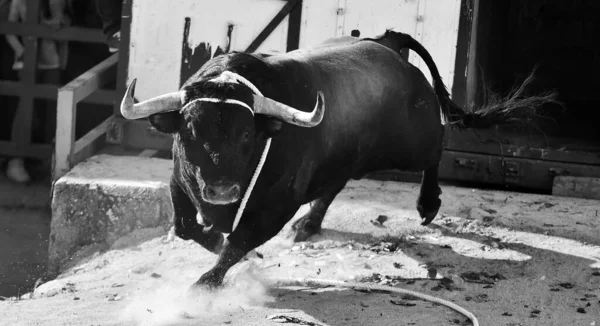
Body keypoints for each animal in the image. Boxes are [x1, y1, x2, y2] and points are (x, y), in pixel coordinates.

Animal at [119, 31, 532, 290]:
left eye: (247, 135)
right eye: (188, 132)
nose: (221, 189)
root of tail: (387, 42)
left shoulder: (276, 206)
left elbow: (239, 243)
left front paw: (208, 280)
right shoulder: (179, 182)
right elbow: (187, 227)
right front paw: (214, 240)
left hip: (412, 143)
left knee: (437, 146)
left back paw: (427, 204)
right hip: (345, 157)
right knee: (335, 184)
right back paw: (309, 224)